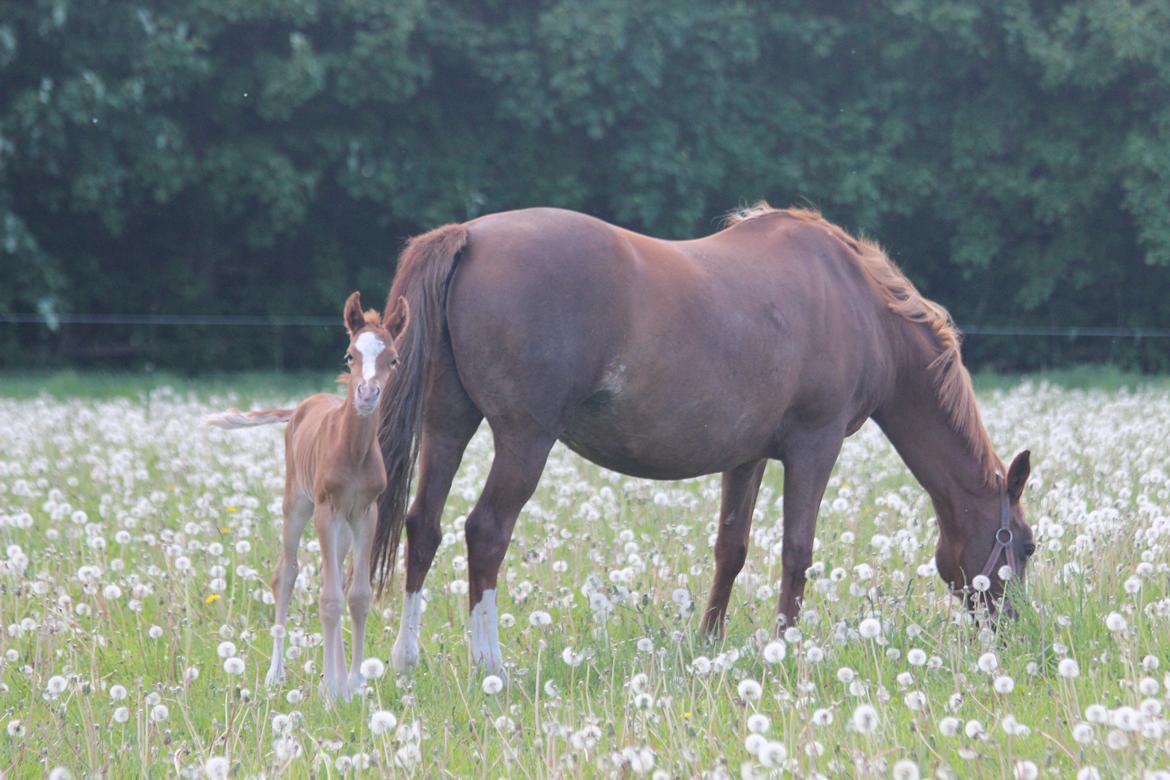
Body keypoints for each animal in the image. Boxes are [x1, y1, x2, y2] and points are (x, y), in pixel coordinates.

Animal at [208, 291, 409, 701]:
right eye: (350, 355)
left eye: (393, 359)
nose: (367, 394)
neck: (352, 451)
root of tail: (302, 405)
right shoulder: (325, 510)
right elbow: (328, 599)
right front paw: (332, 691)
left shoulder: (366, 512)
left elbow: (357, 596)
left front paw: (354, 684)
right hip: (298, 507)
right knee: (286, 574)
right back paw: (276, 674)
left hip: (343, 527)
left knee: (333, 575)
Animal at [372, 204, 1034, 673]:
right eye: (1025, 546)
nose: (1015, 629)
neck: (858, 301)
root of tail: (468, 235)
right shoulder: (815, 448)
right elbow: (797, 552)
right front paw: (786, 647)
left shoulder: (746, 457)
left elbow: (730, 549)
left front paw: (709, 643)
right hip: (523, 440)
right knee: (485, 532)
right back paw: (490, 663)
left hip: (448, 426)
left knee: (423, 525)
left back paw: (407, 660)